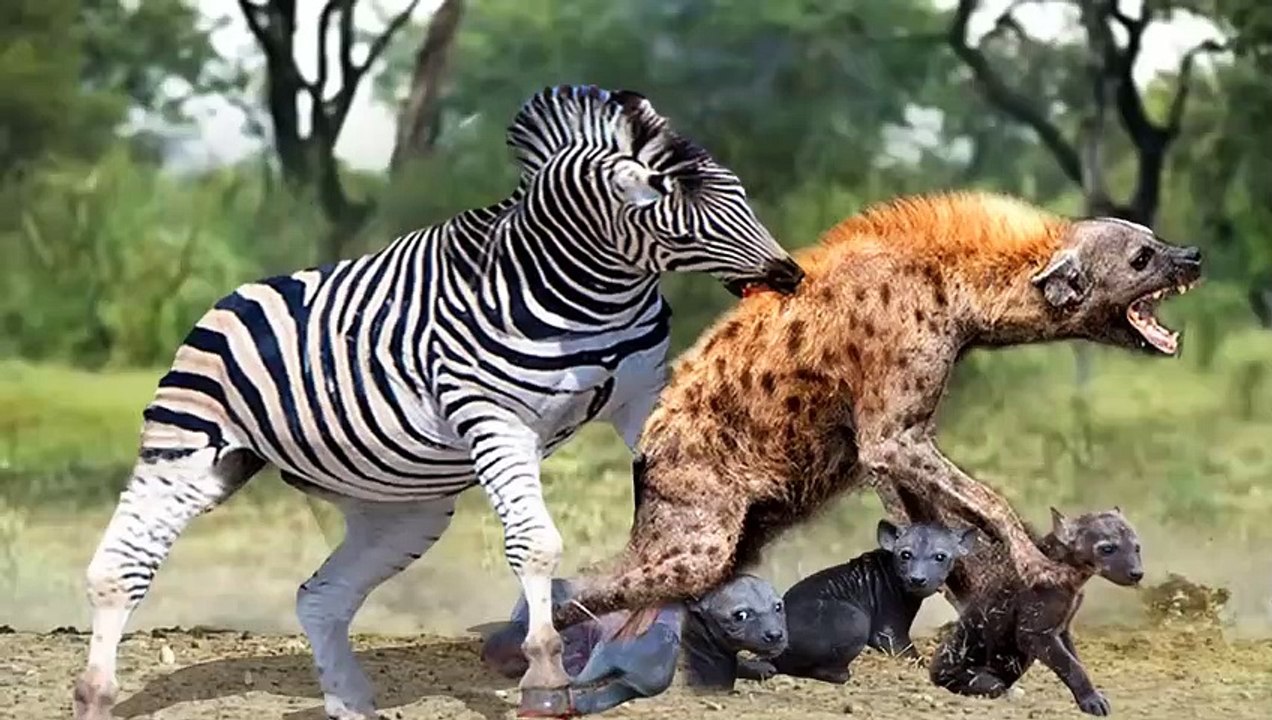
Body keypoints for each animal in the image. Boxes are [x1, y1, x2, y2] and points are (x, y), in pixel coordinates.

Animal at [72, 84, 804, 720]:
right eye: (675, 207)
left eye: (739, 194)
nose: (790, 274)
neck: (594, 294)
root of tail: (232, 294)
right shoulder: (495, 418)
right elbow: (535, 546)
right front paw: (544, 675)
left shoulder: (641, 395)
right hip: (189, 452)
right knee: (121, 570)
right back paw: (95, 694)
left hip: (401, 508)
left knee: (320, 599)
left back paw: (351, 704)